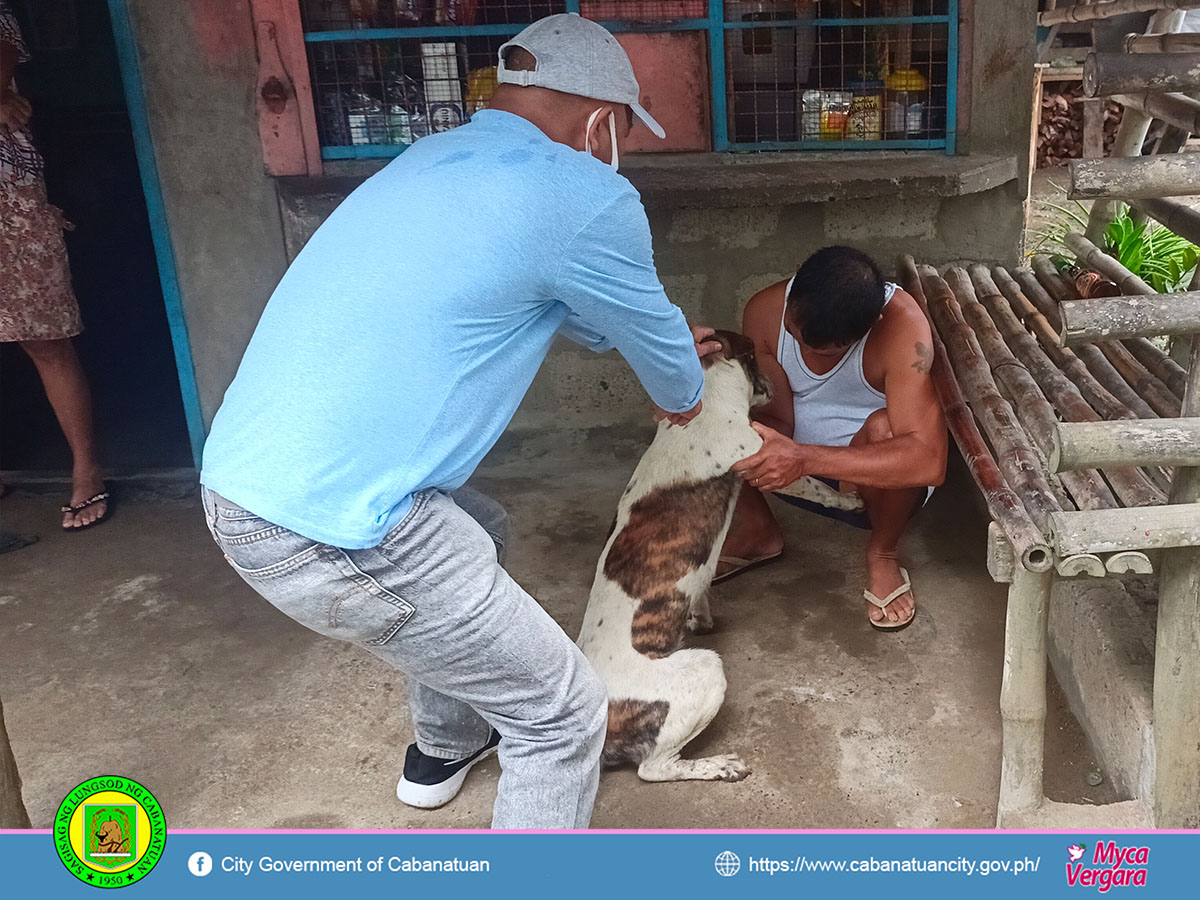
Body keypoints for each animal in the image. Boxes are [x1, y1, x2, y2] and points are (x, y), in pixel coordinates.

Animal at [573, 328, 864, 782]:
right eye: (756, 357)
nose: (775, 383)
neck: (708, 391)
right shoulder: (768, 459)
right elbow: (816, 485)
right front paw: (849, 501)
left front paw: (701, 616)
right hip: (704, 672)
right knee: (653, 768)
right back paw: (717, 766)